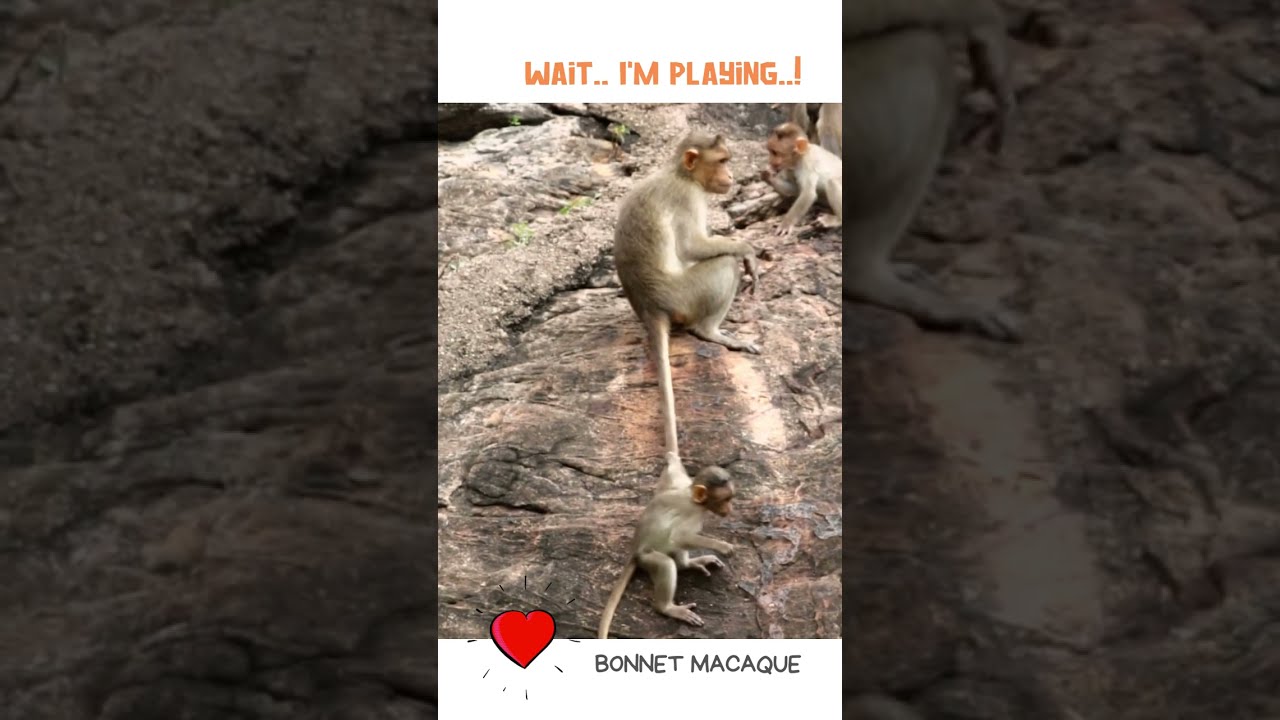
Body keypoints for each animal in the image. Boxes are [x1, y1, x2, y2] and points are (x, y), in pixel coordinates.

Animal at [598, 451, 736, 639]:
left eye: (730, 498)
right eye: (725, 499)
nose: (730, 509)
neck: (694, 501)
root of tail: (635, 550)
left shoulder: (682, 485)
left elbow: (674, 474)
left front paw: (672, 459)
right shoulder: (692, 514)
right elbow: (679, 537)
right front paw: (723, 546)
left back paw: (687, 564)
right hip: (646, 557)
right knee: (665, 563)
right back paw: (667, 608)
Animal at [613, 131, 760, 456]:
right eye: (722, 160)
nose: (731, 175)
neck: (681, 174)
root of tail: (650, 307)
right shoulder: (688, 197)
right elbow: (692, 246)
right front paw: (745, 248)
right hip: (685, 296)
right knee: (725, 264)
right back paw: (710, 332)